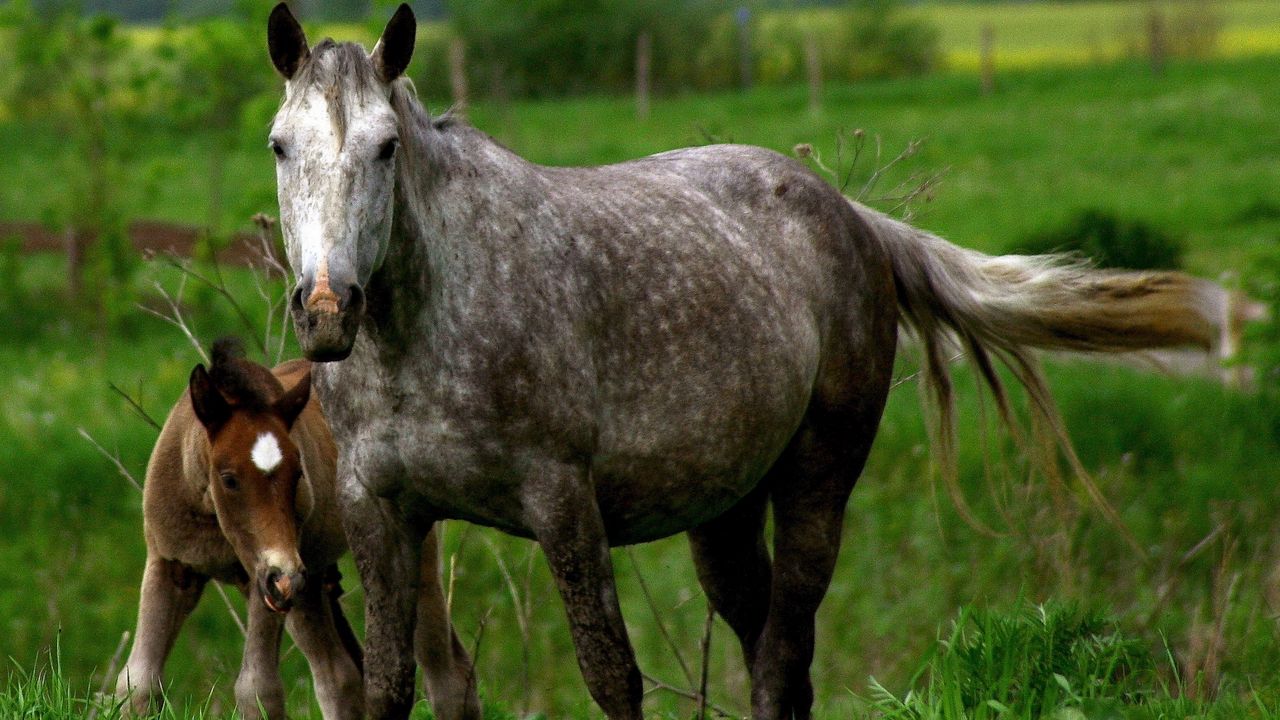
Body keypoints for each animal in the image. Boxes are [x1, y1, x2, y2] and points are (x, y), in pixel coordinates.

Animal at [262, 2, 1228, 712]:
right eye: (280, 145)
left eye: (387, 146)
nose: (327, 312)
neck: (431, 326)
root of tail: (850, 215)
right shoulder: (381, 513)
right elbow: (388, 687)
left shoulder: (563, 504)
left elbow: (612, 679)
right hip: (722, 514)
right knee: (770, 646)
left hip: (816, 487)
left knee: (780, 657)